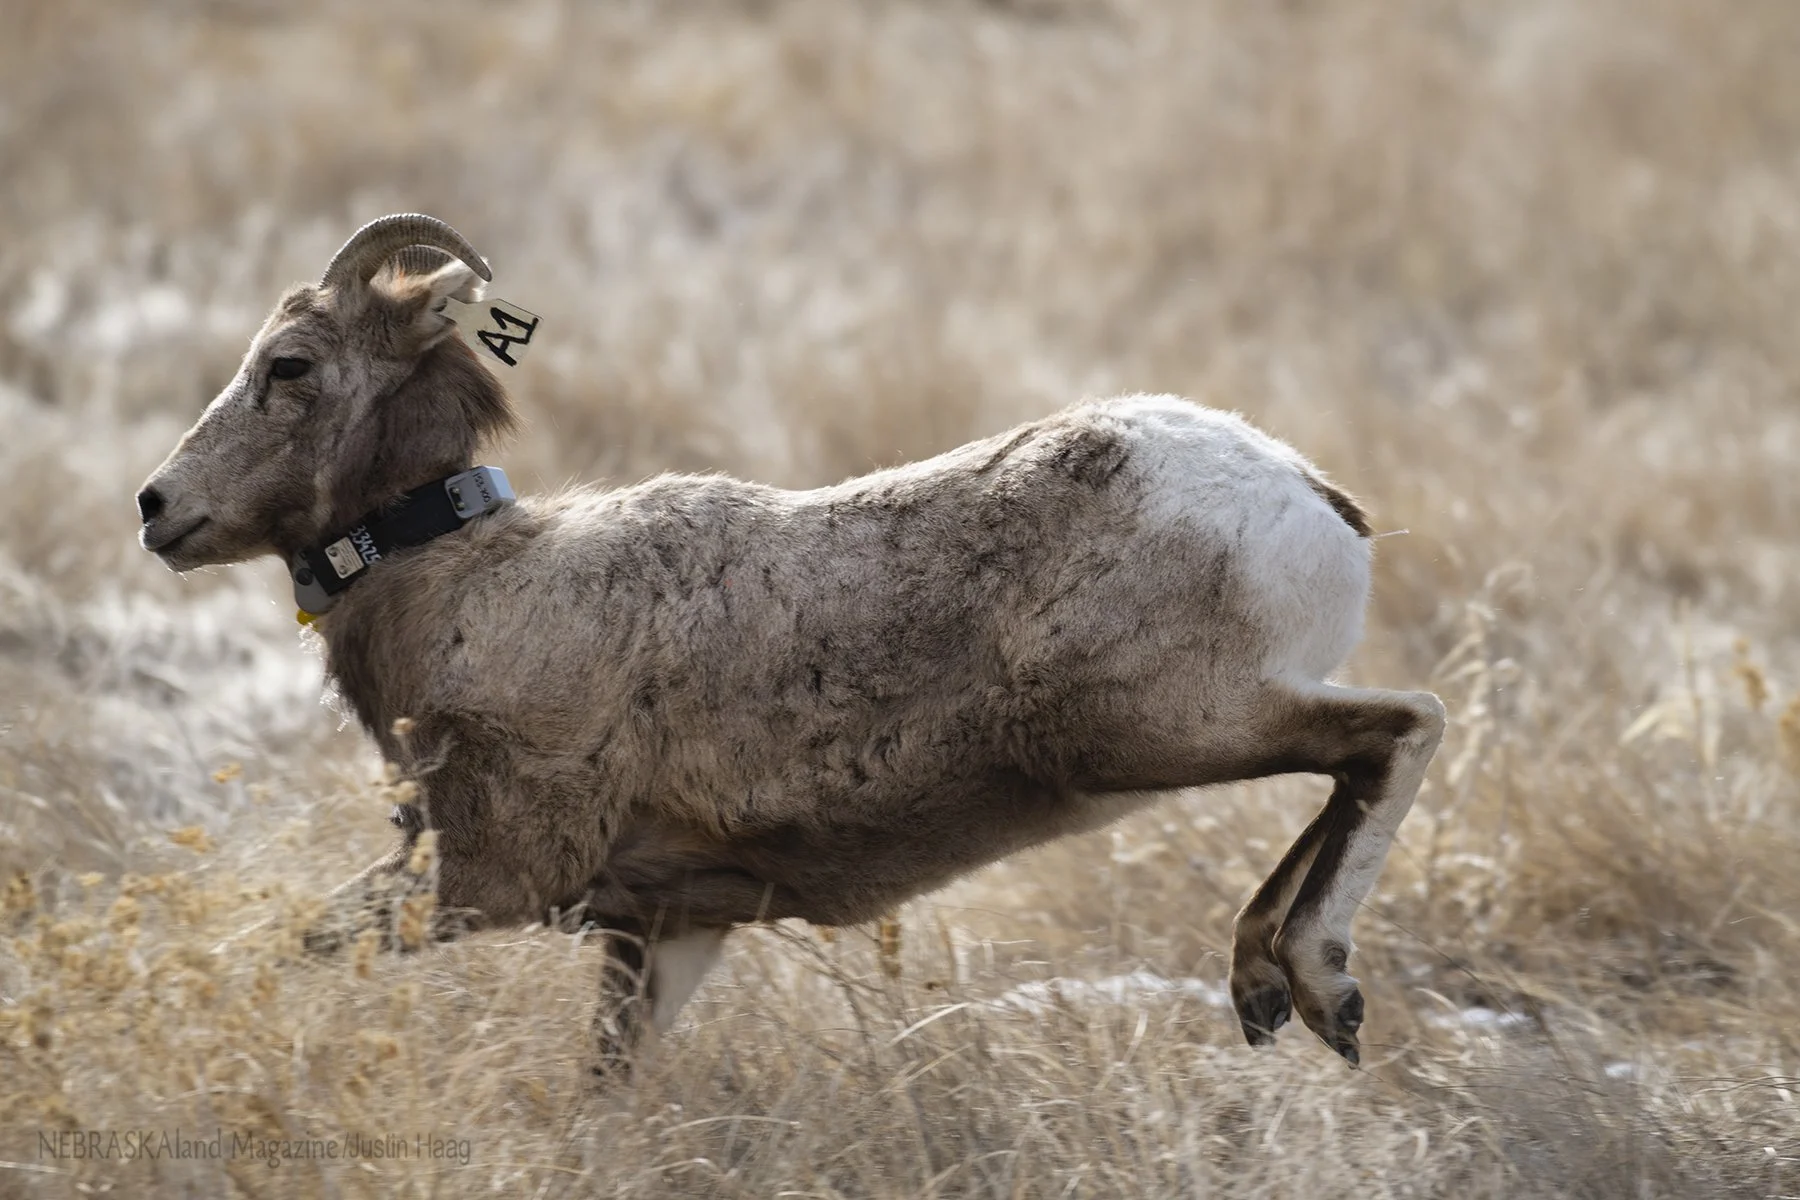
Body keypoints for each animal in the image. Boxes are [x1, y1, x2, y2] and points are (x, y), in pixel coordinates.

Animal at [136, 213, 1445, 1069]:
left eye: (290, 366)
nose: (156, 508)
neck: (470, 587)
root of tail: (1310, 498)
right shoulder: (664, 930)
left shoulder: (484, 878)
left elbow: (292, 946)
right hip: (1192, 728)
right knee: (1349, 767)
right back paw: (1267, 990)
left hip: (1156, 729)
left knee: (1394, 733)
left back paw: (1321, 987)